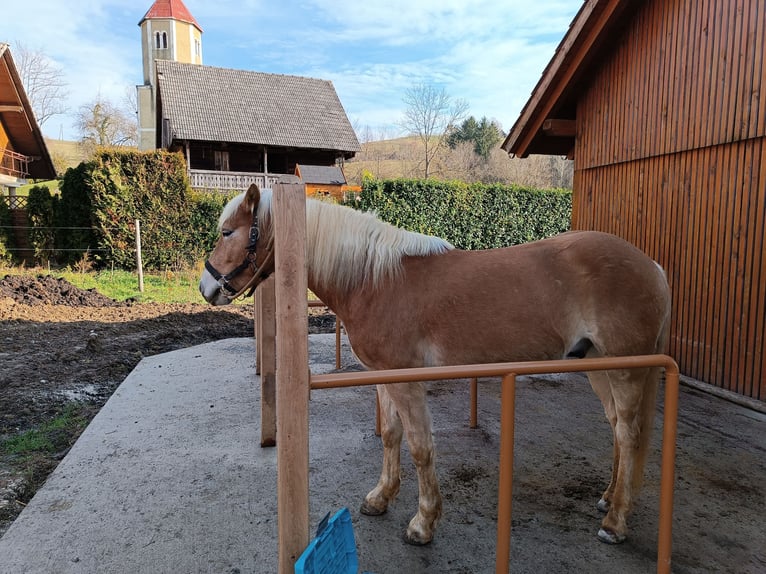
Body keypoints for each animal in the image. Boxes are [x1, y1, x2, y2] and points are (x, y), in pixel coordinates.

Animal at [200, 184, 672, 548]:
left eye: (227, 231)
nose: (206, 288)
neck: (374, 280)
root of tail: (652, 265)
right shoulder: (386, 378)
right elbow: (391, 437)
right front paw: (381, 498)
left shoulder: (408, 382)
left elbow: (420, 447)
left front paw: (423, 524)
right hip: (599, 365)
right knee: (617, 428)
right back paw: (608, 498)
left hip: (626, 370)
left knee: (629, 435)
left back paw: (615, 523)